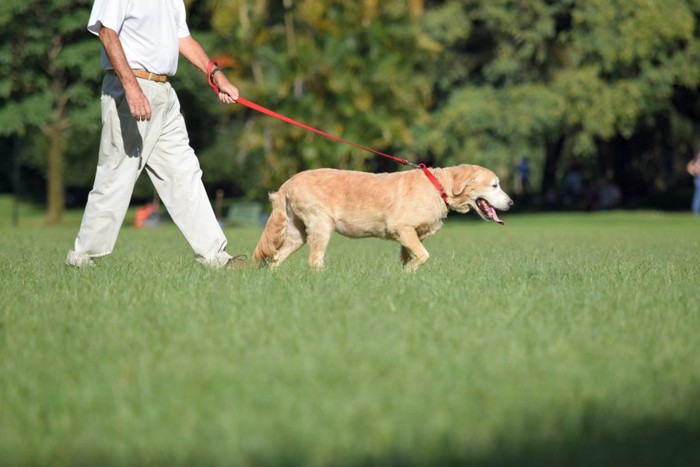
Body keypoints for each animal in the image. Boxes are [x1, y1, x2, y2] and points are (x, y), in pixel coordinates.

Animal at [254, 164, 512, 270]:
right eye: (495, 185)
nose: (511, 203)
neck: (438, 187)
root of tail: (288, 182)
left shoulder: (411, 237)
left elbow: (409, 258)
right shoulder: (403, 229)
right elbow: (423, 255)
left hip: (297, 233)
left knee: (276, 257)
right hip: (321, 224)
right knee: (314, 260)